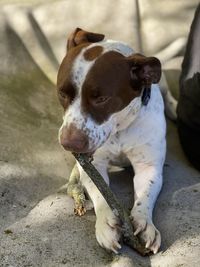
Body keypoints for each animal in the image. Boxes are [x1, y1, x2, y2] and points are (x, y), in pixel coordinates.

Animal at [57, 27, 176, 255]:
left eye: (102, 99)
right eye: (62, 94)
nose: (69, 144)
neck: (120, 129)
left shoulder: (148, 167)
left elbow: (145, 195)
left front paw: (144, 223)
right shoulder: (95, 165)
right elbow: (101, 193)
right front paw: (106, 223)